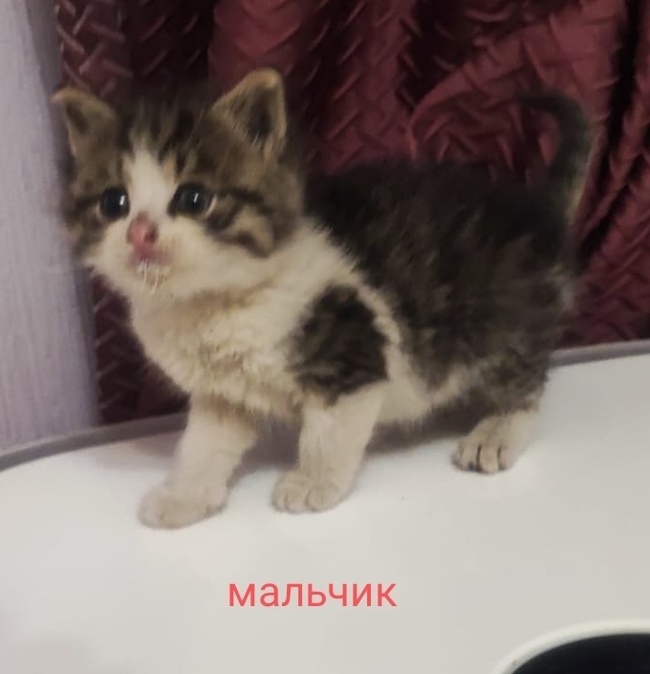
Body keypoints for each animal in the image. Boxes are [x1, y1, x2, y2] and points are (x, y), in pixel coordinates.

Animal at [53, 68, 591, 529]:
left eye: (193, 199)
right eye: (114, 203)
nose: (140, 233)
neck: (215, 302)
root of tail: (536, 209)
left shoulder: (352, 352)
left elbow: (327, 433)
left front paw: (312, 483)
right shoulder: (222, 393)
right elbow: (202, 444)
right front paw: (184, 495)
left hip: (509, 322)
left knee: (523, 381)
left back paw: (496, 432)